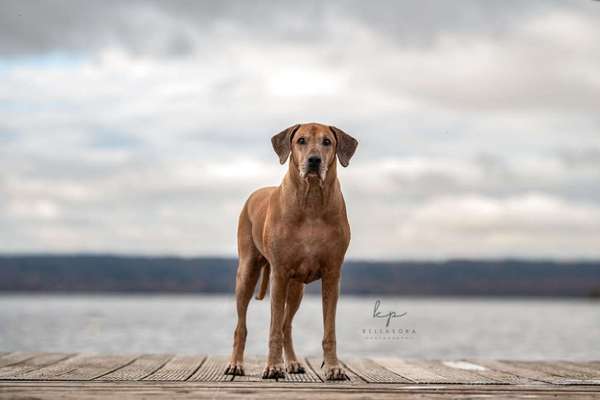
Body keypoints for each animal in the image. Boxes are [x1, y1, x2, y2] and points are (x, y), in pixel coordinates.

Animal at [224, 122, 356, 382]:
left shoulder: (332, 275)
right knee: (241, 326)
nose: (314, 160)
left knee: (287, 325)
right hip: (247, 272)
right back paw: (236, 363)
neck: (312, 199)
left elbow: (329, 330)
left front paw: (334, 367)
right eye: (301, 140)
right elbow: (273, 328)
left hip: (297, 289)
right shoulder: (280, 273)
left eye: (327, 142)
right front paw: (273, 366)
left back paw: (293, 362)